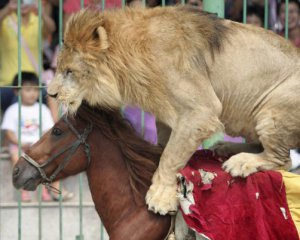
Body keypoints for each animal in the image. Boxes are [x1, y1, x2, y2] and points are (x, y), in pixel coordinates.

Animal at [48, 6, 300, 216]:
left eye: (69, 71)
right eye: (59, 68)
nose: (50, 94)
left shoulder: (201, 110)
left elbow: (171, 156)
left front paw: (160, 196)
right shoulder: (166, 113)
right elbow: (165, 146)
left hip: (272, 111)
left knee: (283, 160)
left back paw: (240, 162)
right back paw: (226, 148)